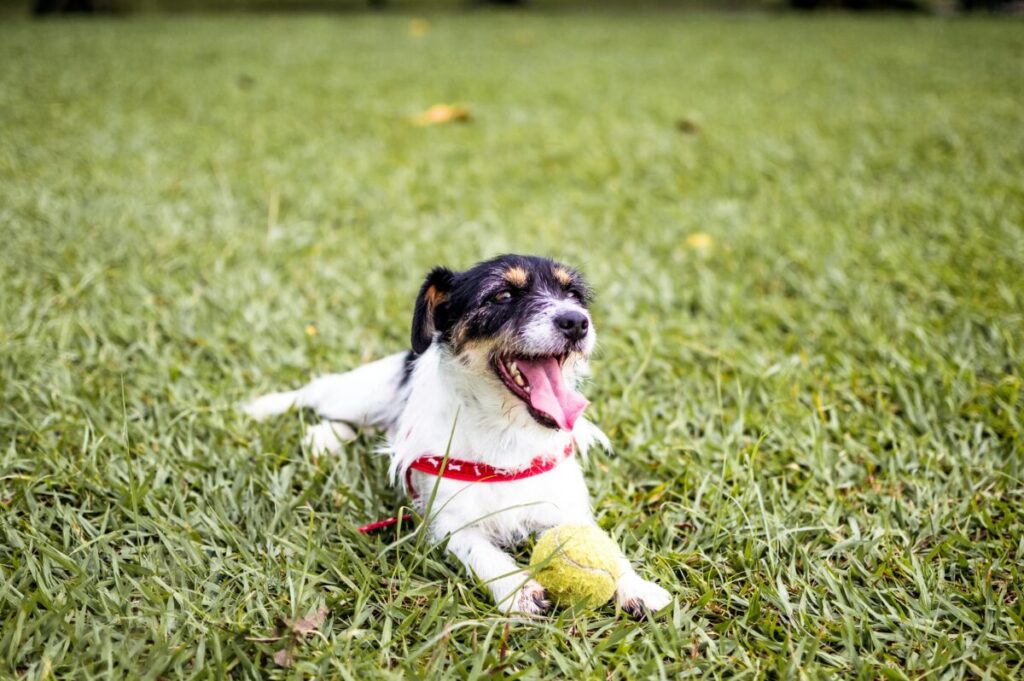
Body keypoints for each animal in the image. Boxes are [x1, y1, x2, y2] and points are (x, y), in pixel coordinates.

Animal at [241, 253, 671, 614]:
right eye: (502, 295)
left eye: (573, 294)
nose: (576, 321)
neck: (506, 431)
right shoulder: (449, 521)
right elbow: (483, 552)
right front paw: (517, 589)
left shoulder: (564, 507)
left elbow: (603, 545)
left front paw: (636, 586)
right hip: (359, 394)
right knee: (318, 393)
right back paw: (277, 414)